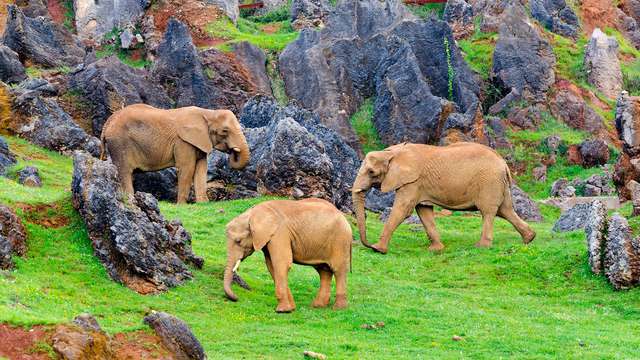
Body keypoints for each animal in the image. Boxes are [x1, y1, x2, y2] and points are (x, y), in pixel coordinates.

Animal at [100, 104, 250, 205]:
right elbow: (187, 168)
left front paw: (203, 204)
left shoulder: (199, 141)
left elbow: (201, 169)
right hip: (120, 143)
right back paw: (130, 199)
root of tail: (107, 123)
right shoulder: (183, 141)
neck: (208, 113)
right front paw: (182, 205)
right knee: (124, 171)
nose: (234, 151)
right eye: (225, 131)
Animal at [224, 197, 356, 312]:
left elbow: (281, 263)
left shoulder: (280, 233)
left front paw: (282, 311)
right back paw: (318, 306)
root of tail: (345, 218)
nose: (237, 298)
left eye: (238, 241)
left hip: (340, 240)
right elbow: (272, 266)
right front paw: (291, 309)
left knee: (338, 269)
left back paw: (338, 308)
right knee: (323, 270)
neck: (252, 214)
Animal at [352, 142, 536, 255]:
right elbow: (424, 211)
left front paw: (378, 250)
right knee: (506, 210)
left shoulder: (412, 182)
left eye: (371, 172)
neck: (392, 152)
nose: (368, 244)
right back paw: (529, 238)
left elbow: (402, 210)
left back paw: (481, 247)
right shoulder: (419, 185)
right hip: (498, 184)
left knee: (489, 212)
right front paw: (436, 250)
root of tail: (504, 163)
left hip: (489, 182)